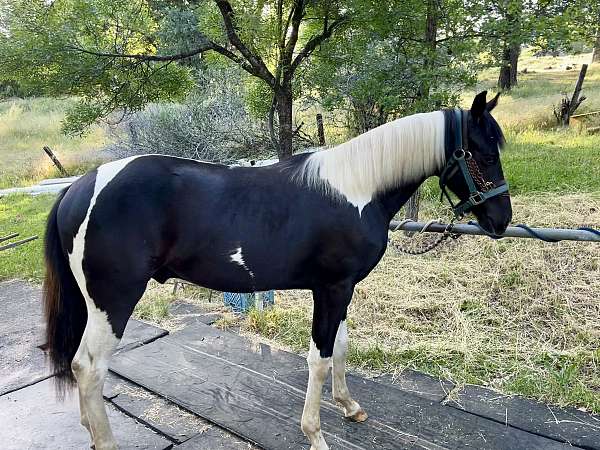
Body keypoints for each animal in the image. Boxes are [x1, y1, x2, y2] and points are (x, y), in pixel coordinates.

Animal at [42, 89, 510, 448]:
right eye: (484, 155)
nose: (501, 221)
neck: (358, 189)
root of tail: (79, 188)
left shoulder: (340, 290)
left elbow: (340, 348)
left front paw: (349, 407)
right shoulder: (331, 289)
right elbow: (319, 359)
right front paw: (315, 434)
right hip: (113, 302)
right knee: (89, 367)